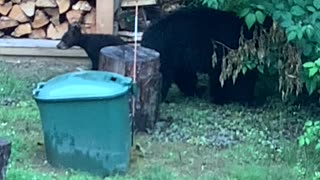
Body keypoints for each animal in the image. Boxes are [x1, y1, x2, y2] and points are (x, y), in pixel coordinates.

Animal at [141, 7, 272, 105]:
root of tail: (145, 37)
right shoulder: (224, 52)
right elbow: (223, 76)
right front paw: (224, 98)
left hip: (179, 58)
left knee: (185, 76)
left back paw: (196, 91)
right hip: (166, 53)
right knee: (165, 77)